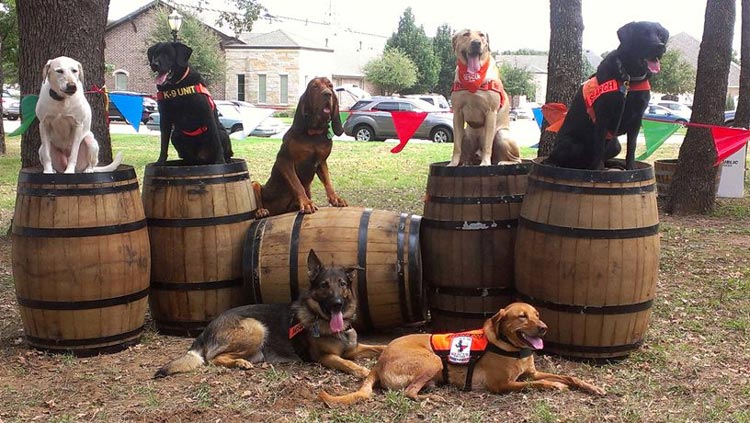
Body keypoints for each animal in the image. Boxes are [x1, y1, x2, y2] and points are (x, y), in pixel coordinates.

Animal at [253, 77, 346, 219]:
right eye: (314, 86)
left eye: (330, 86)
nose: (328, 94)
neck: (314, 133)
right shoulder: (284, 161)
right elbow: (297, 184)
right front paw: (307, 203)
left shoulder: (321, 162)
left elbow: (328, 182)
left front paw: (335, 198)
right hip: (255, 184)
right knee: (257, 193)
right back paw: (261, 211)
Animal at [450, 29, 520, 167]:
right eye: (466, 34)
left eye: (481, 35)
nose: (477, 43)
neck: (473, 78)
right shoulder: (457, 113)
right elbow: (456, 146)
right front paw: (453, 163)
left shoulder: (491, 112)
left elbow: (488, 144)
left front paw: (485, 163)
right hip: (467, 135)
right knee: (468, 153)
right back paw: (466, 163)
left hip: (501, 135)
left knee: (516, 159)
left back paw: (502, 162)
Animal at [548, 21, 668, 171]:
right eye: (643, 34)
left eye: (661, 35)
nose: (661, 46)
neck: (629, 78)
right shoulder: (603, 117)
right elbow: (599, 148)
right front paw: (599, 170)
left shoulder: (637, 120)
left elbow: (632, 148)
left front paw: (631, 168)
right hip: (572, 144)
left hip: (615, 145)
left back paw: (615, 164)